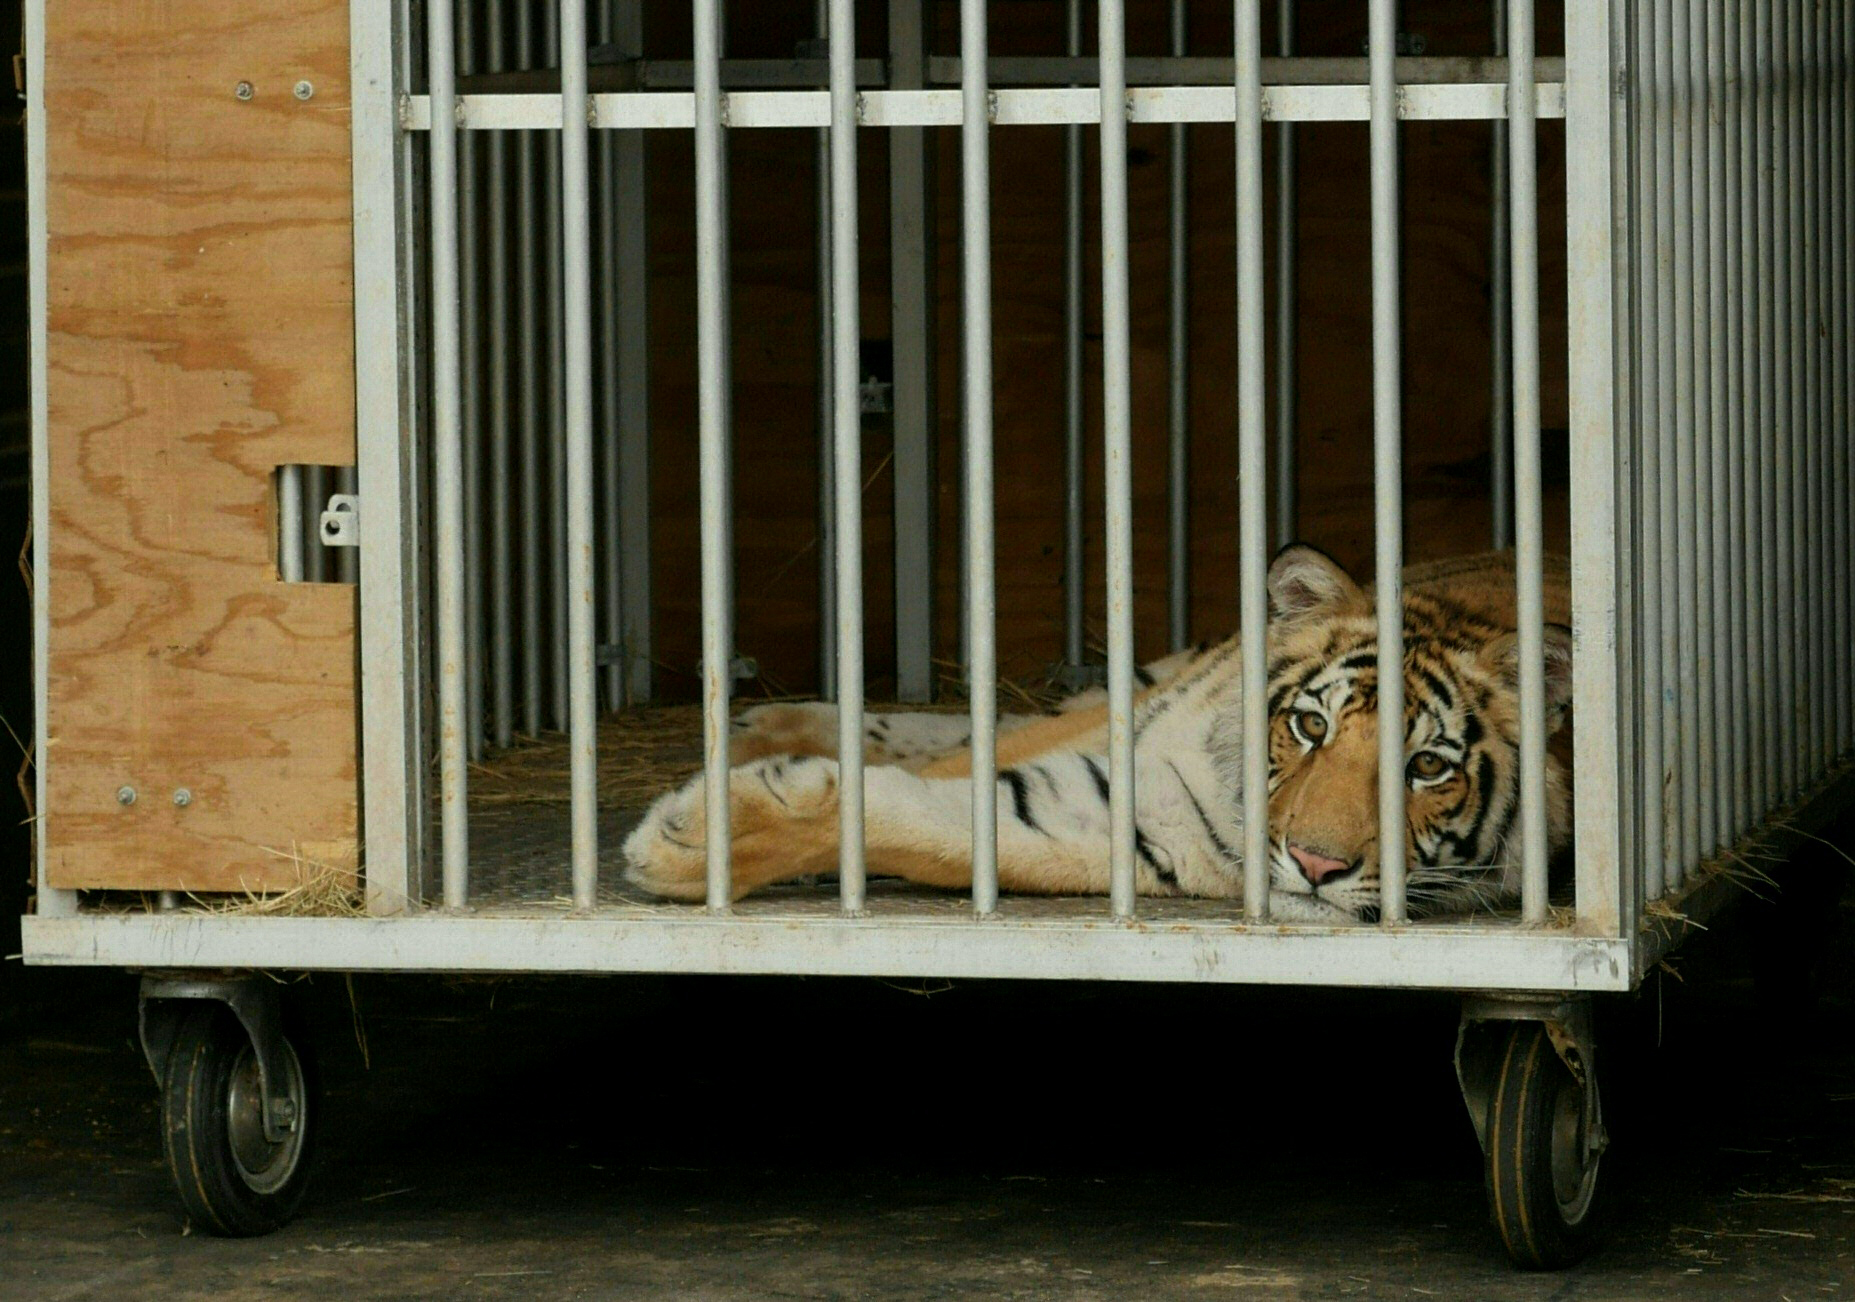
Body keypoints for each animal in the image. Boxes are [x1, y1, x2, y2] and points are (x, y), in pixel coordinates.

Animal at [619, 545, 1565, 923]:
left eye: (1427, 767)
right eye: (1309, 725)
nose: (1316, 865)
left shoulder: (1124, 830)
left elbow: (947, 828)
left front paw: (689, 838)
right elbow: (965, 766)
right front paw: (691, 838)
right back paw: (762, 723)